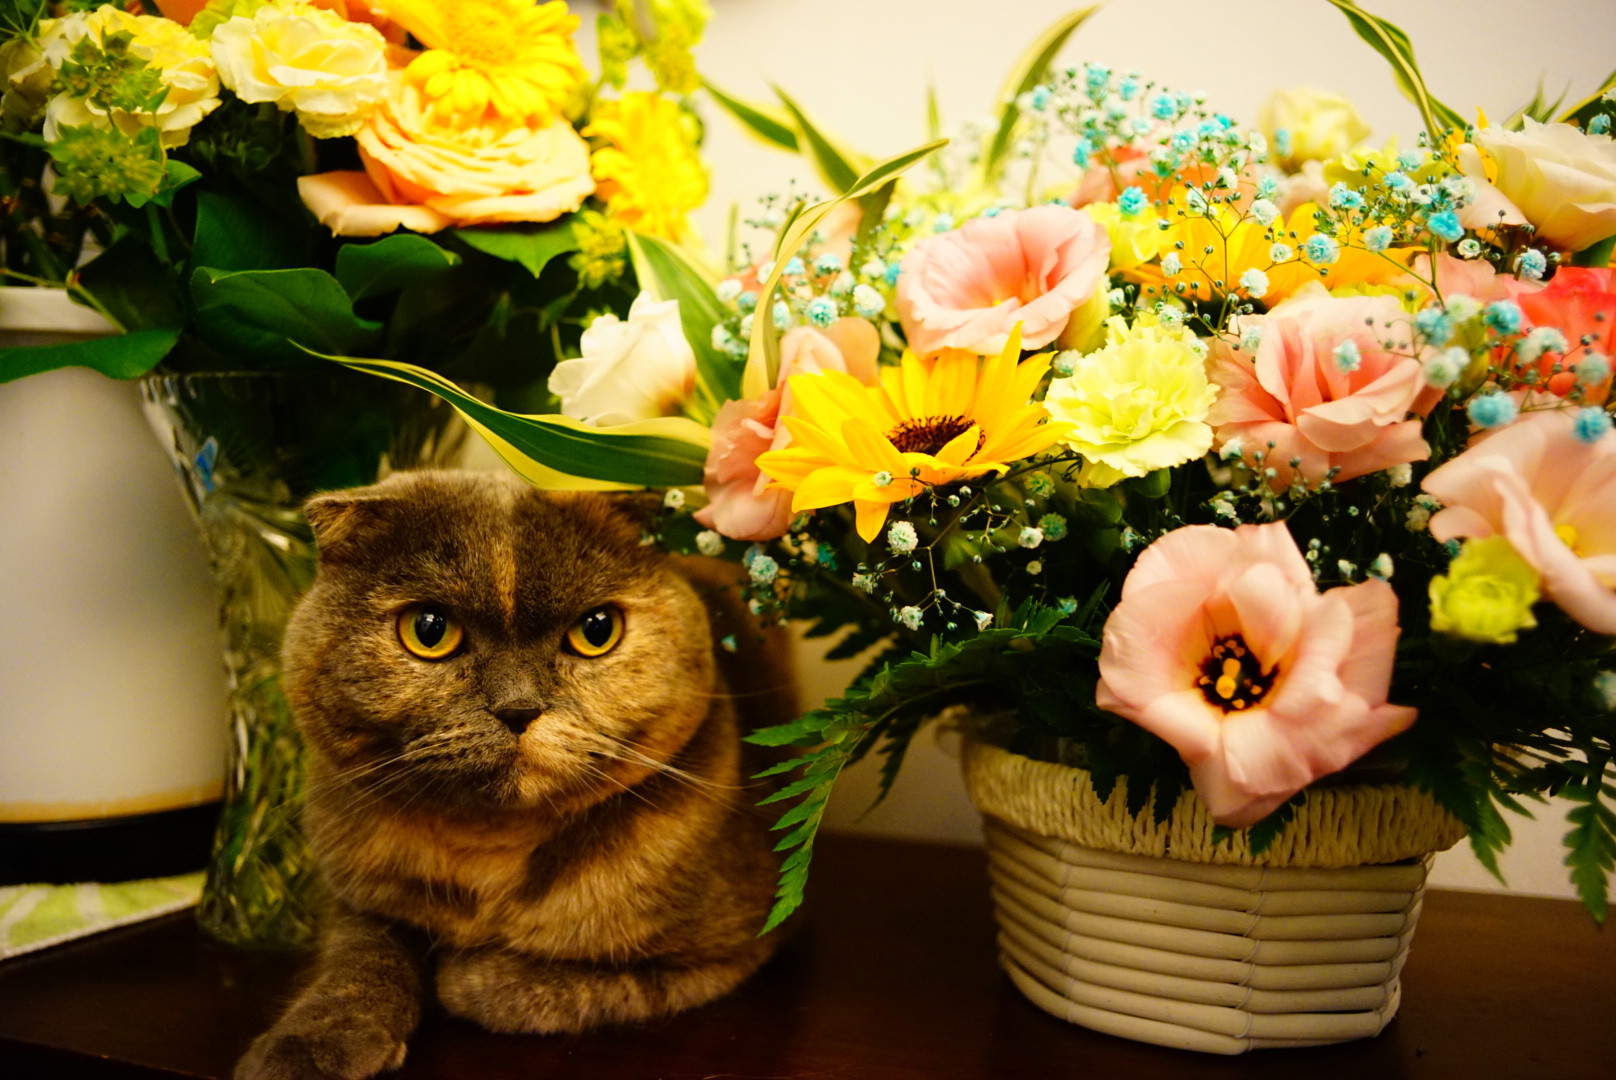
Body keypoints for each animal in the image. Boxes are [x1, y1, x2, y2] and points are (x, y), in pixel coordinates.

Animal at [235, 470, 796, 1080]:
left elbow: (582, 981)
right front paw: (304, 1049)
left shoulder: (732, 946)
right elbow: (356, 959)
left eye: (596, 629)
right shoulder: (351, 894)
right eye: (428, 630)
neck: (491, 851)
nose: (519, 708)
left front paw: (467, 972)